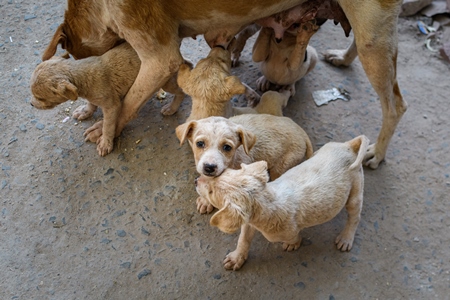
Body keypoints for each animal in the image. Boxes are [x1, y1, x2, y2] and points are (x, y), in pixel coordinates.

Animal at [30, 42, 186, 157]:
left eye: (40, 97)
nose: (31, 104)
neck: (83, 76)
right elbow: (91, 104)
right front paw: (85, 111)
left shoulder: (112, 106)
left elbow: (108, 126)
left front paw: (106, 143)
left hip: (165, 79)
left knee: (181, 91)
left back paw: (172, 108)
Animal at [176, 114, 312, 213]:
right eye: (200, 143)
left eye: (227, 147)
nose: (209, 167)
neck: (233, 160)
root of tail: (301, 132)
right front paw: (205, 200)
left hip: (282, 166)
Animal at [197, 135, 370, 270]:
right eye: (220, 174)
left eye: (211, 192)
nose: (195, 181)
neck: (267, 200)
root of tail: (349, 146)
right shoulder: (248, 222)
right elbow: (243, 239)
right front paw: (235, 259)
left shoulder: (285, 232)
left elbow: (294, 238)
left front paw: (293, 245)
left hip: (356, 189)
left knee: (355, 217)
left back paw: (345, 240)